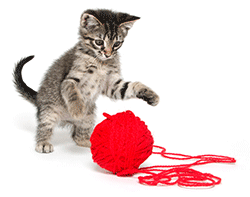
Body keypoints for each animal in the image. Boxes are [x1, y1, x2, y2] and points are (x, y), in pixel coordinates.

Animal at [13, 8, 159, 154]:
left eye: (117, 44)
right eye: (99, 42)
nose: (108, 54)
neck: (101, 62)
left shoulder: (112, 85)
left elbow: (131, 86)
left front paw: (151, 95)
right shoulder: (69, 79)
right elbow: (72, 91)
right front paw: (77, 109)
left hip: (88, 116)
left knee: (77, 136)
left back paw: (88, 141)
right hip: (49, 110)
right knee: (44, 126)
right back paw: (43, 143)